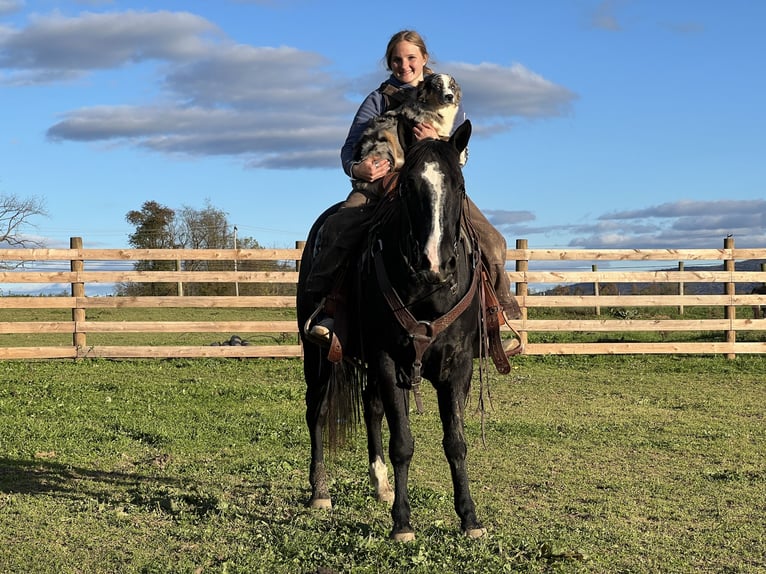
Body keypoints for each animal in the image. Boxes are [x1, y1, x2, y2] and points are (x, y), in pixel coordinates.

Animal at [296, 121, 486, 544]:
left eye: (460, 185)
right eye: (408, 186)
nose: (434, 263)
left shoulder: (457, 367)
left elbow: (456, 443)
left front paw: (469, 517)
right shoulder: (388, 359)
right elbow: (402, 443)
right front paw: (402, 523)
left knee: (371, 408)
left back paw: (380, 484)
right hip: (317, 358)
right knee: (317, 412)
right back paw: (320, 491)